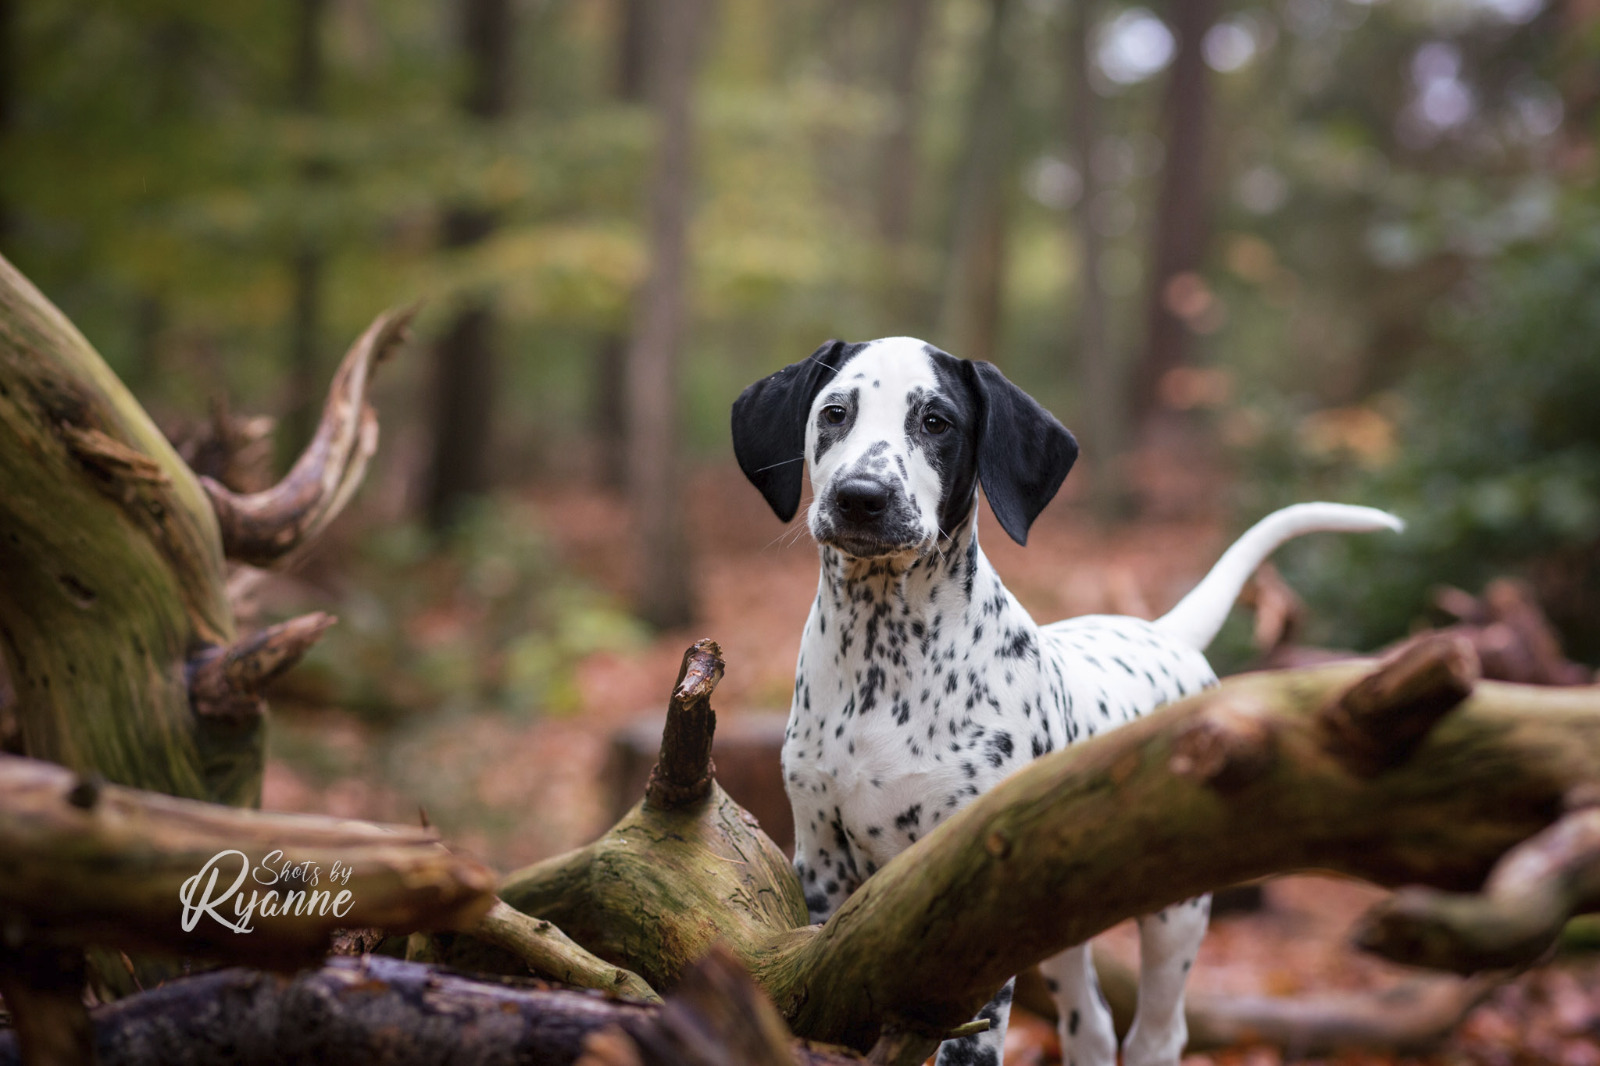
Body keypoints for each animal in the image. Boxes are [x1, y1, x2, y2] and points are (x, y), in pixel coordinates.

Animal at [729, 336, 1401, 1062]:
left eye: (936, 422)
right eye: (834, 412)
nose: (861, 497)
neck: (885, 667)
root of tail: (1166, 632)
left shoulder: (965, 912)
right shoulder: (823, 868)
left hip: (1176, 912)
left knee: (1157, 1033)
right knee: (1092, 1023)